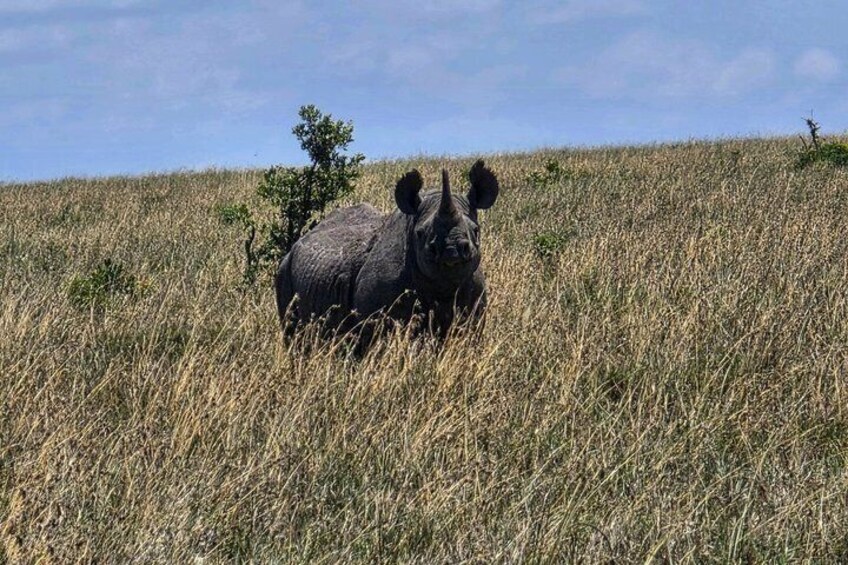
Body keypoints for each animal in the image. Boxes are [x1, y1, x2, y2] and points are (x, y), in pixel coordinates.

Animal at [275, 159, 499, 347]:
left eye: (476, 230)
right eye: (420, 234)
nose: (451, 250)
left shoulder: (474, 306)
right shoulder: (376, 315)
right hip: (284, 269)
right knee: (291, 332)